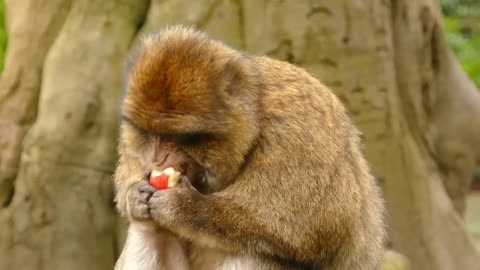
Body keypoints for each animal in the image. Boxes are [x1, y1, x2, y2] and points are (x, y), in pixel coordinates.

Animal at [113, 25, 386, 270]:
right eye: (148, 133)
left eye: (181, 137)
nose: (158, 160)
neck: (254, 121)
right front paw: (134, 196)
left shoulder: (297, 132)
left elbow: (311, 227)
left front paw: (185, 206)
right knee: (149, 230)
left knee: (257, 252)